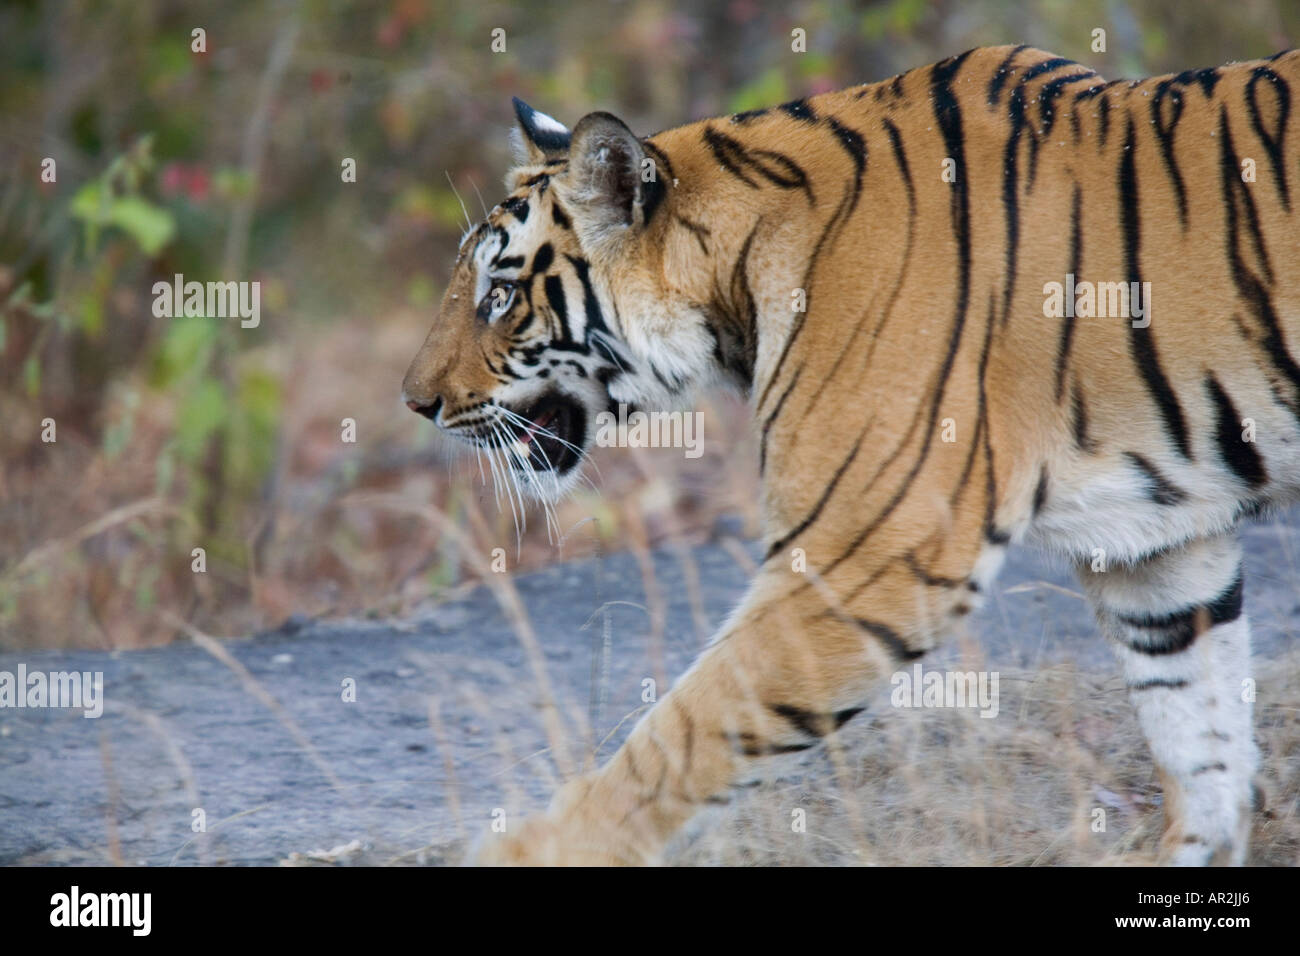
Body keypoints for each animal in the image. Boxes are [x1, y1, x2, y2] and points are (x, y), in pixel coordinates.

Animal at [397, 46, 1300, 868]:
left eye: (499, 296)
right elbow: (1199, 741)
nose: (415, 402)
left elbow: (678, 737)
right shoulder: (1154, 549)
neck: (734, 283)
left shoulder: (864, 554)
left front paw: (534, 851)